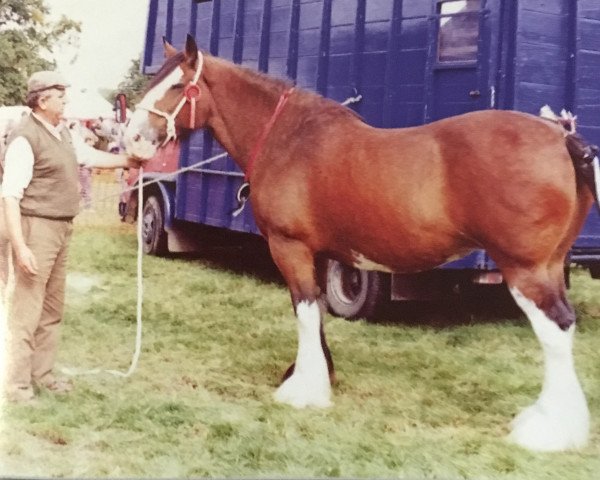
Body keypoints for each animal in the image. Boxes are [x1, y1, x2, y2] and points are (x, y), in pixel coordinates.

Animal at [124, 35, 596, 452]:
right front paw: (316, 376)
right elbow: (315, 313)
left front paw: (303, 391)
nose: (131, 139)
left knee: (555, 329)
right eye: (155, 79)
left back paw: (548, 430)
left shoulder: (290, 247)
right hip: (550, 265)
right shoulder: (316, 253)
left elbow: (304, 311)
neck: (288, 138)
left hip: (525, 269)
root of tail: (562, 137)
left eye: (179, 85)